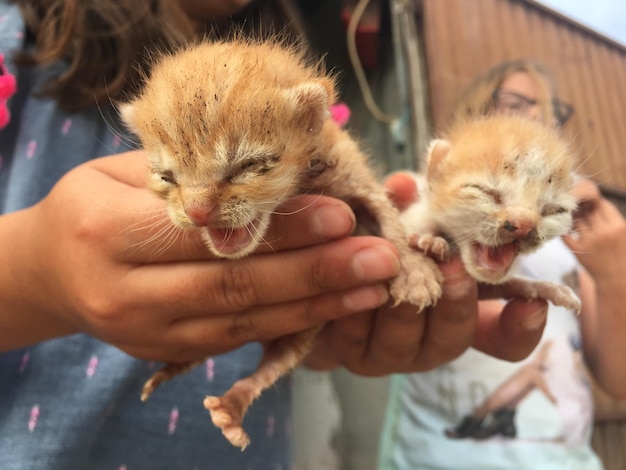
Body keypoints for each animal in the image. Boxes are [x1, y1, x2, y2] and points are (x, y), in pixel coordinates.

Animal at [119, 38, 442, 450]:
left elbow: (389, 219)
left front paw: (414, 271)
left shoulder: (353, 172)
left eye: (246, 167)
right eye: (166, 177)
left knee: (278, 359)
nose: (197, 212)